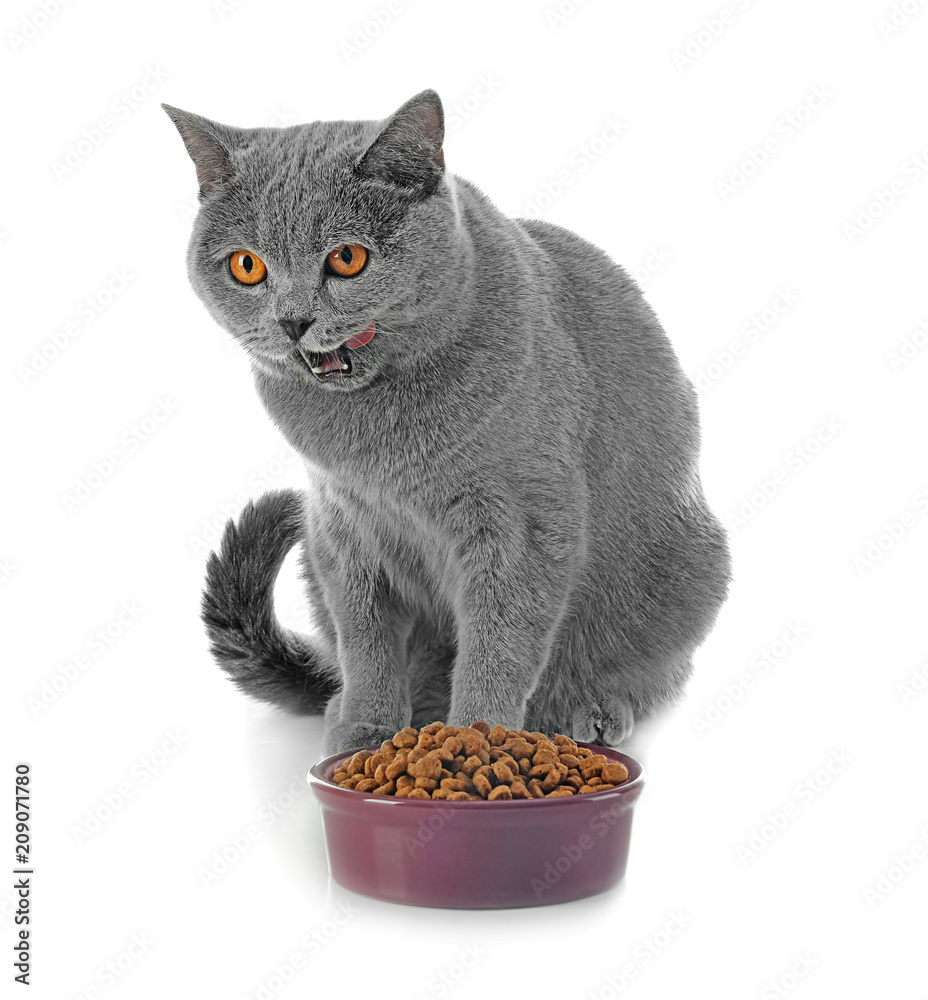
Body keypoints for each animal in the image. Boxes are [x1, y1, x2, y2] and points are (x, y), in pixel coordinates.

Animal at [165, 88, 732, 756]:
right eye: (247, 267)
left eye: (348, 258)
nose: (292, 320)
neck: (376, 443)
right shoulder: (341, 523)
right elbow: (366, 639)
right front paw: (367, 730)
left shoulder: (520, 526)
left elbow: (499, 644)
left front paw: (476, 741)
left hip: (687, 570)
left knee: (644, 670)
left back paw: (589, 710)